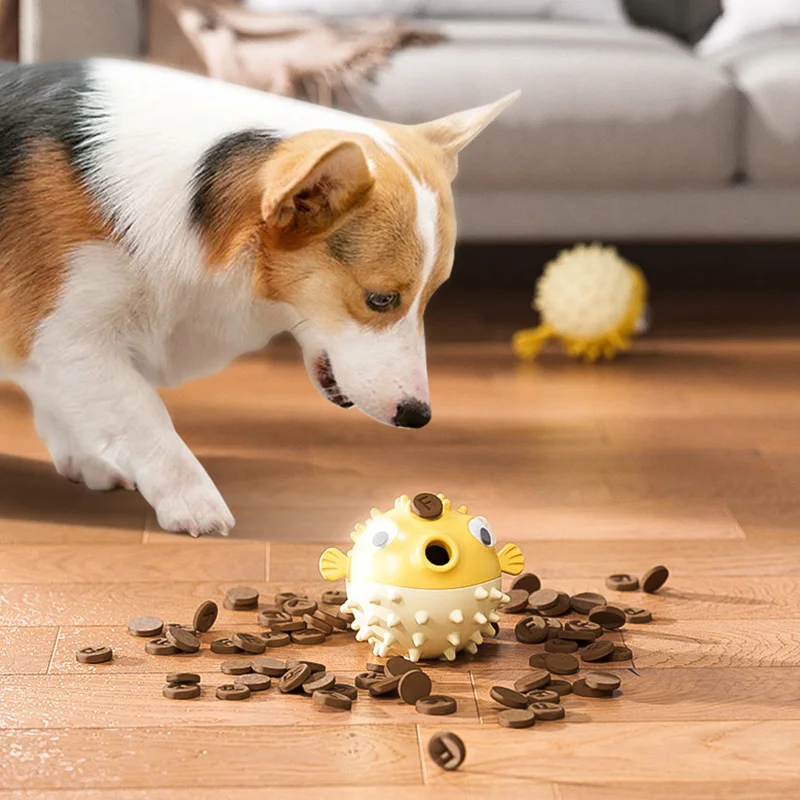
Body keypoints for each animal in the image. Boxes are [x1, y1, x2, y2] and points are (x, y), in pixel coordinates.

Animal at [0, 61, 520, 536]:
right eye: (379, 299)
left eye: (431, 296)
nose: (418, 417)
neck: (197, 209)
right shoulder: (69, 337)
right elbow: (143, 413)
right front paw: (195, 505)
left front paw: (89, 461)